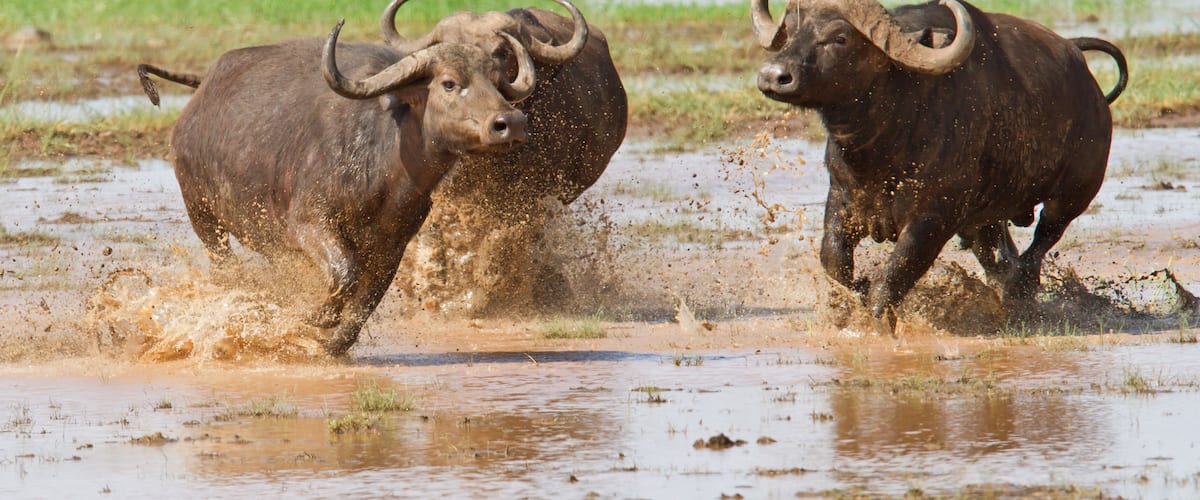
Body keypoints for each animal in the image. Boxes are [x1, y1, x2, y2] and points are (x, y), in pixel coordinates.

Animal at [138, 19, 537, 355]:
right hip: (202, 214)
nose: (511, 122)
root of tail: (199, 97)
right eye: (449, 83)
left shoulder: (393, 245)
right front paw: (310, 317)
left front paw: (331, 343)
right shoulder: (310, 224)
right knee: (225, 267)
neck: (387, 165)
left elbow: (366, 300)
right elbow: (345, 274)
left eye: (497, 81)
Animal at [752, 0, 1128, 328]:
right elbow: (834, 263)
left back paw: (1018, 290)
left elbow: (895, 273)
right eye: (791, 31)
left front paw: (876, 321)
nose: (772, 75)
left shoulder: (933, 218)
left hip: (1073, 195)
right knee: (997, 254)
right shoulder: (842, 201)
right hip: (983, 218)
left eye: (840, 38)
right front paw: (854, 296)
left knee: (1041, 241)